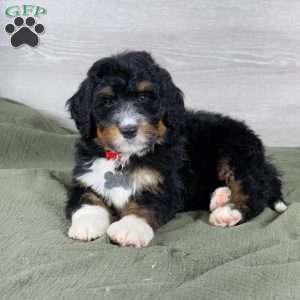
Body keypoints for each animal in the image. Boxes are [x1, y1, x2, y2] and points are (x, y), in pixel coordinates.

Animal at [65, 51, 286, 247]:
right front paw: (86, 224)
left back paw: (228, 211)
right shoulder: (86, 177)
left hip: (234, 152)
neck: (125, 157)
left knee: (253, 190)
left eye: (144, 98)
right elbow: (87, 199)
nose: (128, 129)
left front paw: (129, 228)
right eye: (107, 101)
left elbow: (145, 205)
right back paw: (220, 197)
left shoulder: (164, 183)